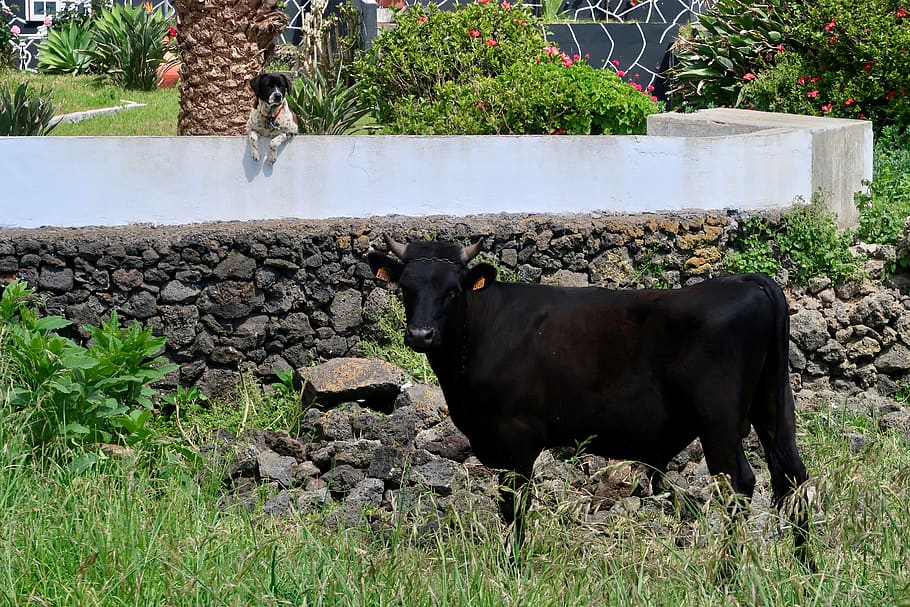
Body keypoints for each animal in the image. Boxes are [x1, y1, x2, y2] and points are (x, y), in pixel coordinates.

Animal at [368, 235, 812, 568]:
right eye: (406, 289)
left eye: (452, 291)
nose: (421, 334)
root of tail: (744, 282)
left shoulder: (516, 437)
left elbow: (514, 505)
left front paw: (512, 566)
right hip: (772, 408)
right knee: (791, 477)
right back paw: (804, 568)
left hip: (719, 422)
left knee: (739, 485)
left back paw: (727, 575)